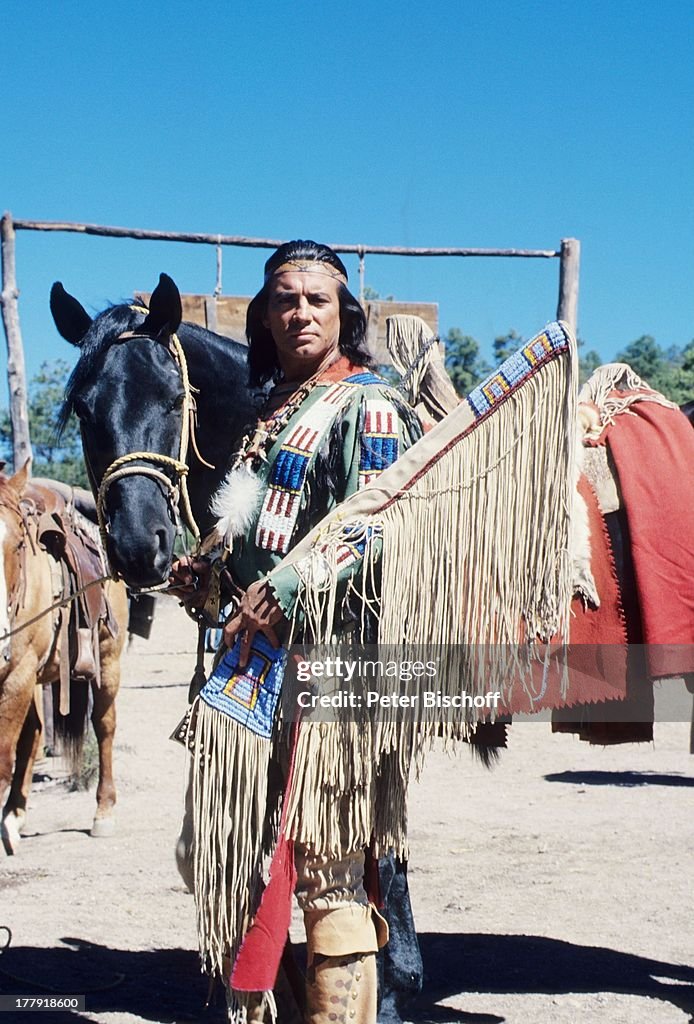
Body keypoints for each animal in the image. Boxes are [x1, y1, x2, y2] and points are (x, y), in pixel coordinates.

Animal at [0, 464, 128, 856]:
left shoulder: (16, 678)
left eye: (18, 544)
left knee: (104, 726)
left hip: (107, 662)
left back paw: (104, 811)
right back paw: (14, 816)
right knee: (34, 734)